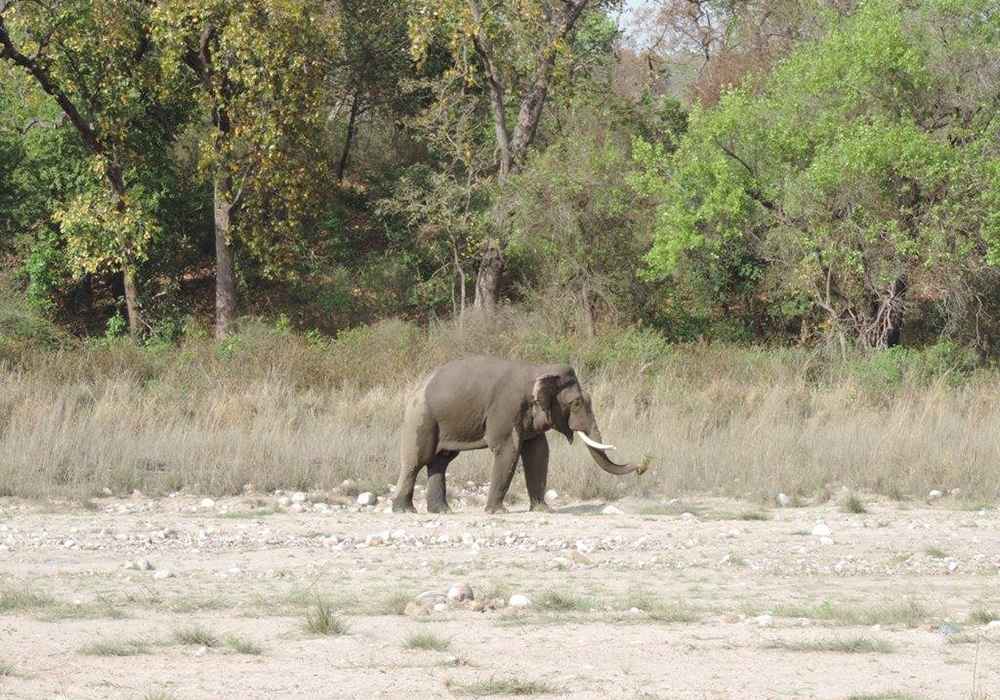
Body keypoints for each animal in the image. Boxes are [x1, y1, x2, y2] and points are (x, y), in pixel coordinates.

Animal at [390, 356, 648, 516]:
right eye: (575, 403)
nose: (643, 465)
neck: (538, 369)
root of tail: (417, 387)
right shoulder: (505, 409)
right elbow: (508, 450)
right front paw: (496, 512)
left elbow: (539, 453)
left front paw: (544, 510)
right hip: (421, 418)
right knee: (417, 460)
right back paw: (404, 510)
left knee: (441, 461)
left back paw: (442, 511)